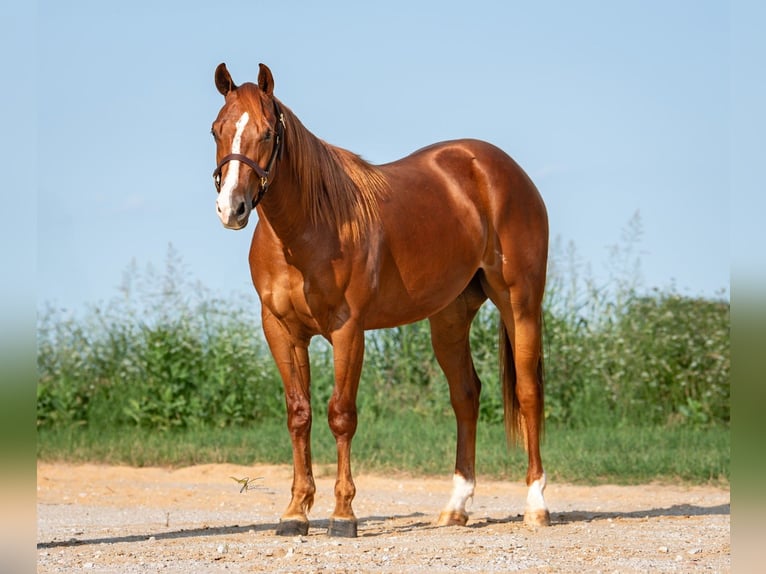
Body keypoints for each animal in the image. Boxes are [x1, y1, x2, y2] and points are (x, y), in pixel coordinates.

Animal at [211, 62, 550, 538]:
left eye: (266, 133)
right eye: (216, 130)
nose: (232, 209)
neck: (309, 226)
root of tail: (500, 169)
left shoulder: (348, 330)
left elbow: (341, 414)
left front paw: (342, 515)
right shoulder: (281, 330)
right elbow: (299, 414)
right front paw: (295, 511)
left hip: (521, 304)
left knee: (528, 392)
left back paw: (536, 506)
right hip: (450, 316)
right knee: (466, 395)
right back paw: (455, 508)